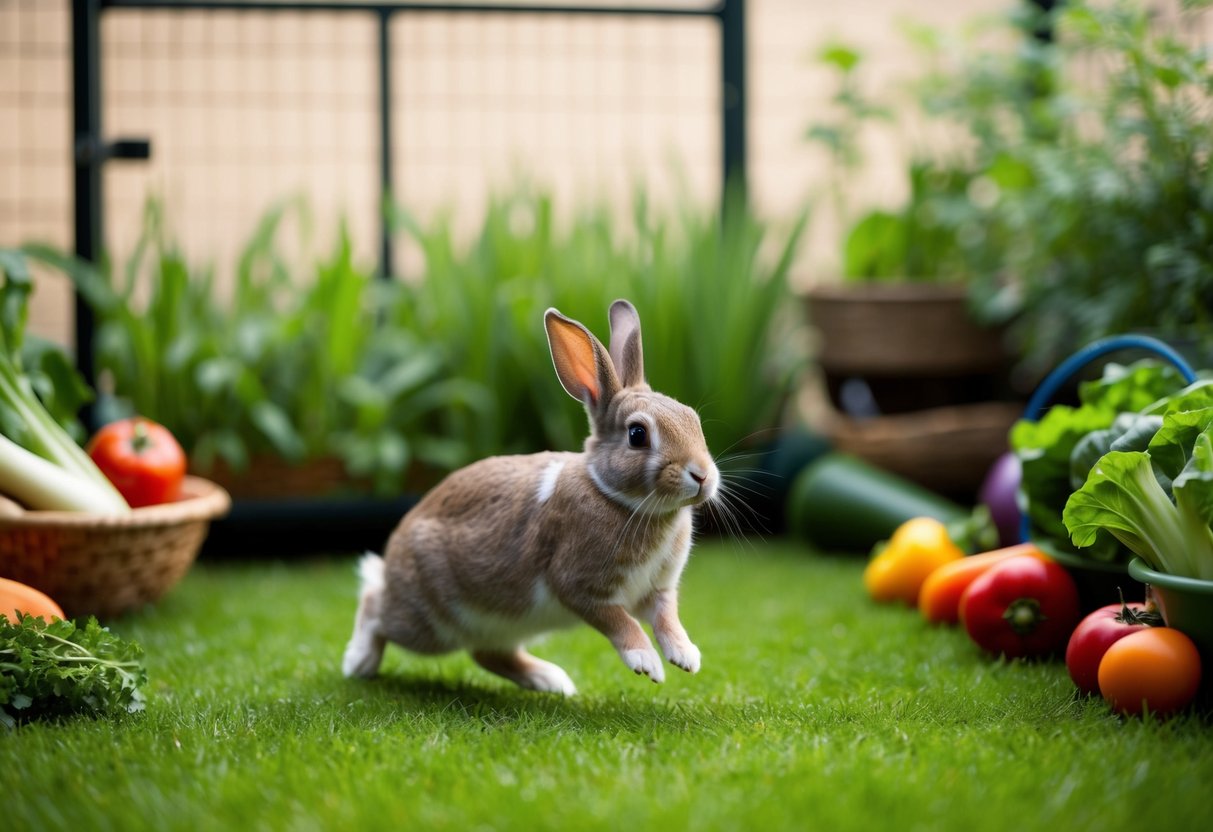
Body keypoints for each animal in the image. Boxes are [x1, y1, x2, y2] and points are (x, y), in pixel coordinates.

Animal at [341, 299, 720, 695]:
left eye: (692, 419)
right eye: (637, 434)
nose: (702, 475)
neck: (617, 497)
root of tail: (394, 558)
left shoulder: (659, 589)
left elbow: (666, 618)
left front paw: (686, 657)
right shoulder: (577, 585)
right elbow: (618, 620)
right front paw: (646, 662)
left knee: (488, 655)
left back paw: (552, 680)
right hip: (426, 622)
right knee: (374, 606)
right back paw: (358, 662)